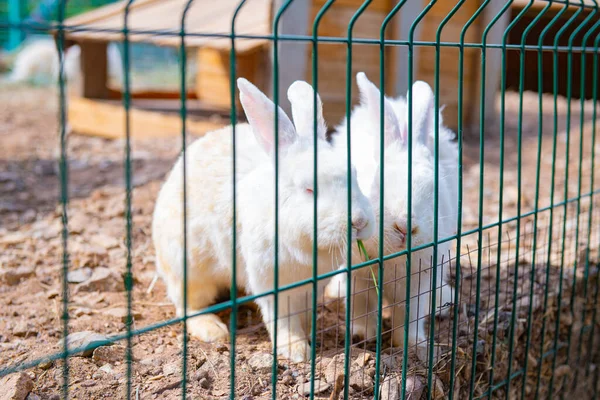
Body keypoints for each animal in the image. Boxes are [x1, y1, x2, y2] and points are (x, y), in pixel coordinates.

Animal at [152, 76, 372, 360]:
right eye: (309, 189)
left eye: (354, 174)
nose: (359, 222)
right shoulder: (271, 283)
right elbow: (283, 320)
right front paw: (296, 350)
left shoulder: (310, 288)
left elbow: (303, 315)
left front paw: (308, 334)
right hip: (189, 269)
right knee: (187, 306)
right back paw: (213, 329)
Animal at [326, 72, 458, 360]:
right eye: (378, 185)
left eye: (433, 190)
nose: (405, 226)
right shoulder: (360, 275)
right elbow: (362, 306)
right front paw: (362, 336)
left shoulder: (419, 280)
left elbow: (409, 316)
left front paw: (414, 346)